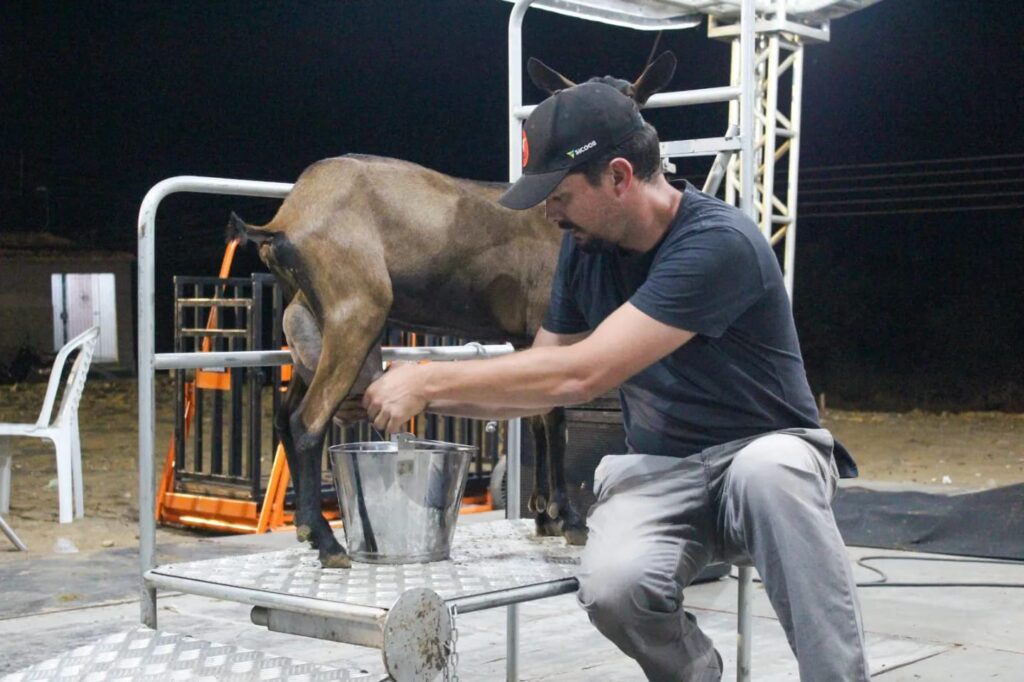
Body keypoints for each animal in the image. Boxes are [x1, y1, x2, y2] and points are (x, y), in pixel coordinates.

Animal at [230, 52, 678, 568]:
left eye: (634, 98)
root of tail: (284, 220)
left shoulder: (526, 336)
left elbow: (540, 417)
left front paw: (543, 514)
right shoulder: (546, 321)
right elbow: (556, 418)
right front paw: (568, 519)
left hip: (310, 319)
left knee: (285, 418)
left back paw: (311, 531)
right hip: (355, 311)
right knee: (307, 422)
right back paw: (327, 542)